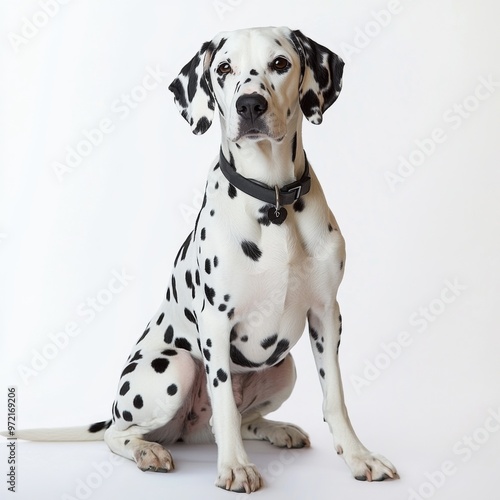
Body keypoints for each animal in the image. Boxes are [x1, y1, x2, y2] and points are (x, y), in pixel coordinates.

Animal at [2, 27, 398, 492]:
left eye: (280, 63)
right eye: (224, 68)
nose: (250, 105)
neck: (273, 202)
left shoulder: (326, 315)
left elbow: (334, 396)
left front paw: (358, 456)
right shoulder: (216, 322)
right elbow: (223, 400)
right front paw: (236, 467)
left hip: (285, 368)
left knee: (242, 420)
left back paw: (277, 429)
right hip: (171, 368)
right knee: (121, 432)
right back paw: (148, 450)